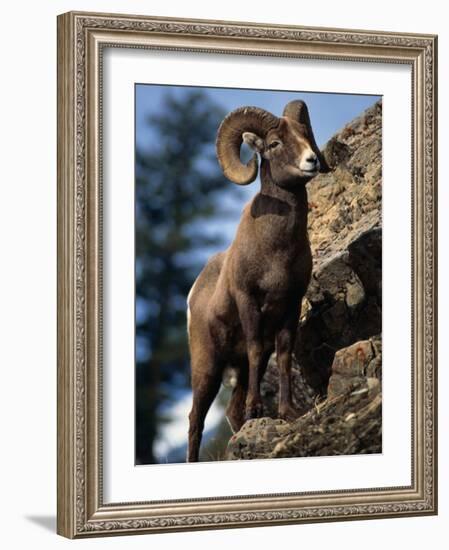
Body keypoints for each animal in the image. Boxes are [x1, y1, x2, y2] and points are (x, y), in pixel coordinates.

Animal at [186, 99, 328, 462]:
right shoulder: (249, 302)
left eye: (305, 134)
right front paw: (258, 409)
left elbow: (285, 353)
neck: (276, 250)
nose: (311, 161)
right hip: (207, 368)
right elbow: (254, 346)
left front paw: (287, 412)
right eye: (275, 143)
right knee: (195, 420)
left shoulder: (290, 304)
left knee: (230, 412)